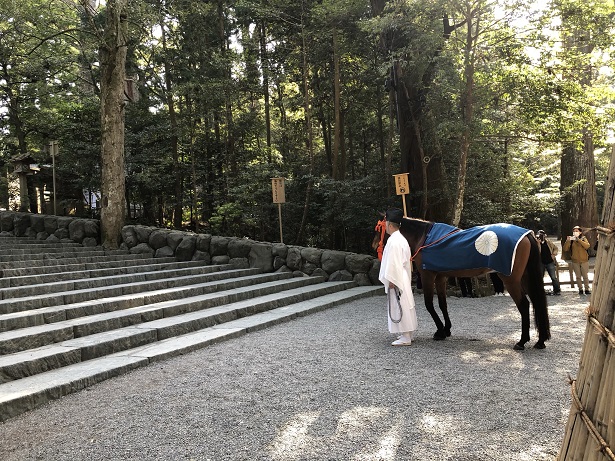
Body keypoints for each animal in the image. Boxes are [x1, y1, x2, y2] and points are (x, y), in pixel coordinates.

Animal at [372, 216, 552, 348]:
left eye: (379, 228)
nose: (373, 244)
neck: (425, 238)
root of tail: (527, 234)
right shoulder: (441, 277)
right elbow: (443, 304)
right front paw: (446, 329)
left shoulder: (428, 276)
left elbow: (429, 304)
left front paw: (439, 331)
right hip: (525, 278)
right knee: (536, 302)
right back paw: (540, 341)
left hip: (511, 280)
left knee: (524, 305)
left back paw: (522, 341)